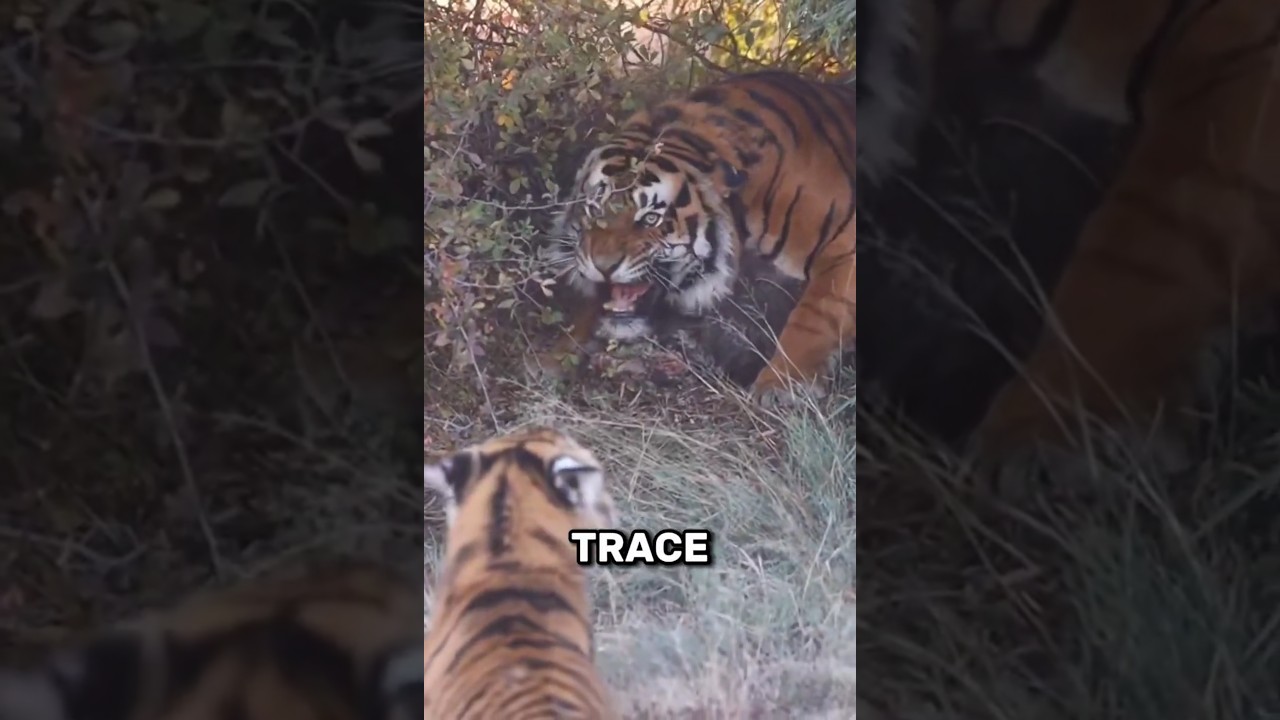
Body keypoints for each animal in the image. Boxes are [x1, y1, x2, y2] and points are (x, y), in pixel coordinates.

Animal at [540, 70, 857, 400]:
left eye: (650, 218)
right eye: (593, 210)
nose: (602, 266)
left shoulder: (847, 246)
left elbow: (814, 316)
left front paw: (780, 386)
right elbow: (588, 314)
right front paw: (556, 357)